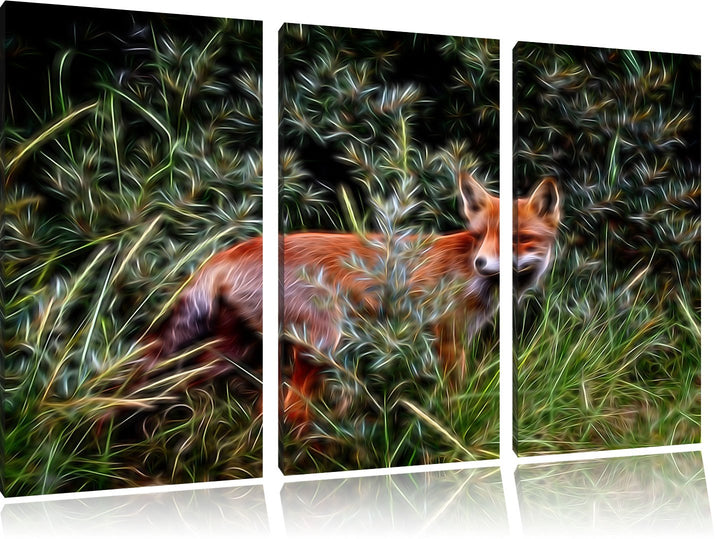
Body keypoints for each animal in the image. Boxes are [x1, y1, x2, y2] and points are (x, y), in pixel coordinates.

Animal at [148, 172, 560, 427]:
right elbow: (453, 391)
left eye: (518, 239)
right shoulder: (447, 337)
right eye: (479, 236)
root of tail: (231, 250)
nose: (481, 263)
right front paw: (451, 422)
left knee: (212, 388)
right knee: (290, 408)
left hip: (235, 347)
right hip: (322, 344)